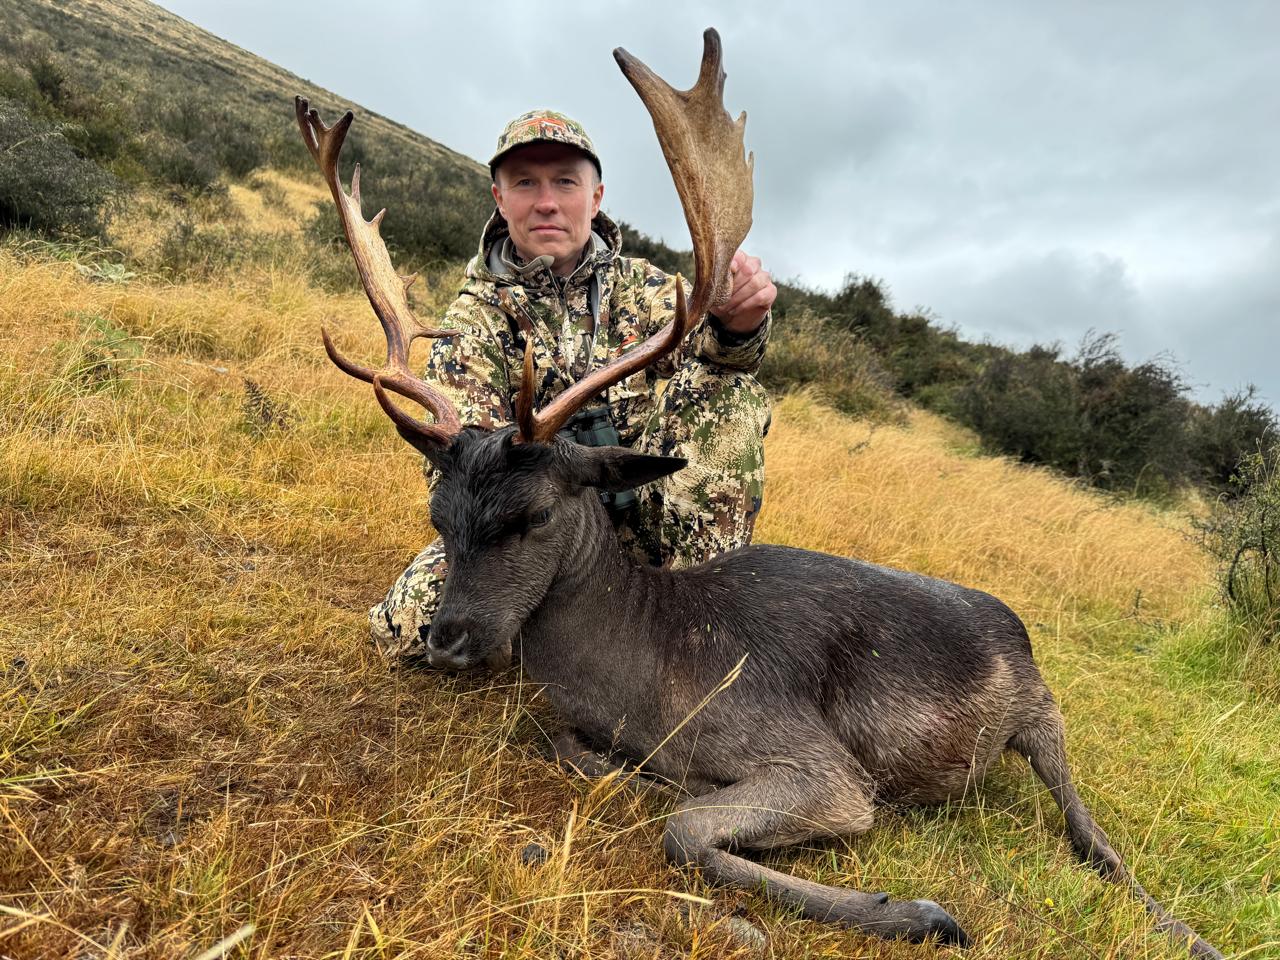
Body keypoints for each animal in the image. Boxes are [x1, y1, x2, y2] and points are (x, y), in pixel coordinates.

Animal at [294, 29, 1223, 957]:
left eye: (535, 513)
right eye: (439, 514)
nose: (448, 639)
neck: (648, 668)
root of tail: (1017, 626)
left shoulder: (816, 763)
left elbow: (688, 831)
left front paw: (917, 912)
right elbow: (581, 752)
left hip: (1045, 715)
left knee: (1094, 836)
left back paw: (1185, 927)